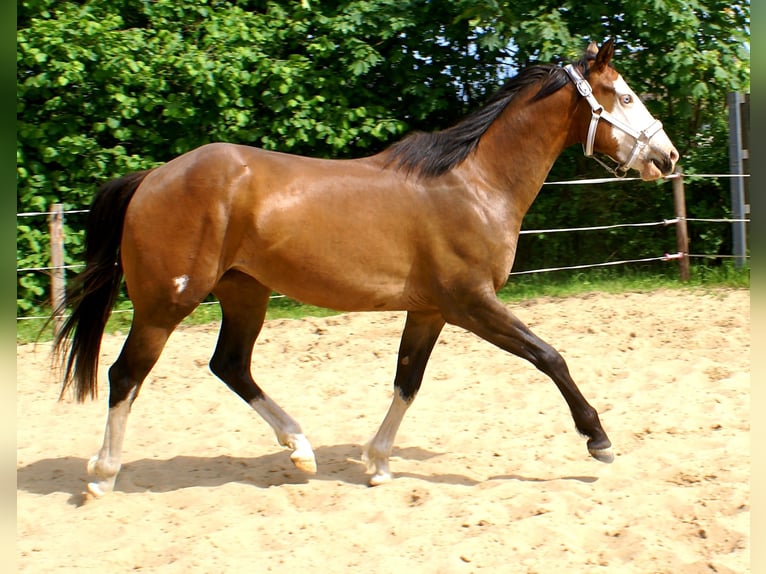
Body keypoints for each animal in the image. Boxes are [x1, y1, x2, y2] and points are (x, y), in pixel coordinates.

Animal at [53, 40, 678, 496]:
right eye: (623, 98)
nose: (667, 155)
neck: (475, 186)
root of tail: (151, 179)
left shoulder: (430, 310)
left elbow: (407, 380)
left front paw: (377, 463)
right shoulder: (473, 304)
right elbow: (550, 357)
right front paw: (598, 439)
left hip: (244, 294)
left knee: (229, 365)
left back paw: (300, 450)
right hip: (166, 304)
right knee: (125, 376)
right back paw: (101, 475)